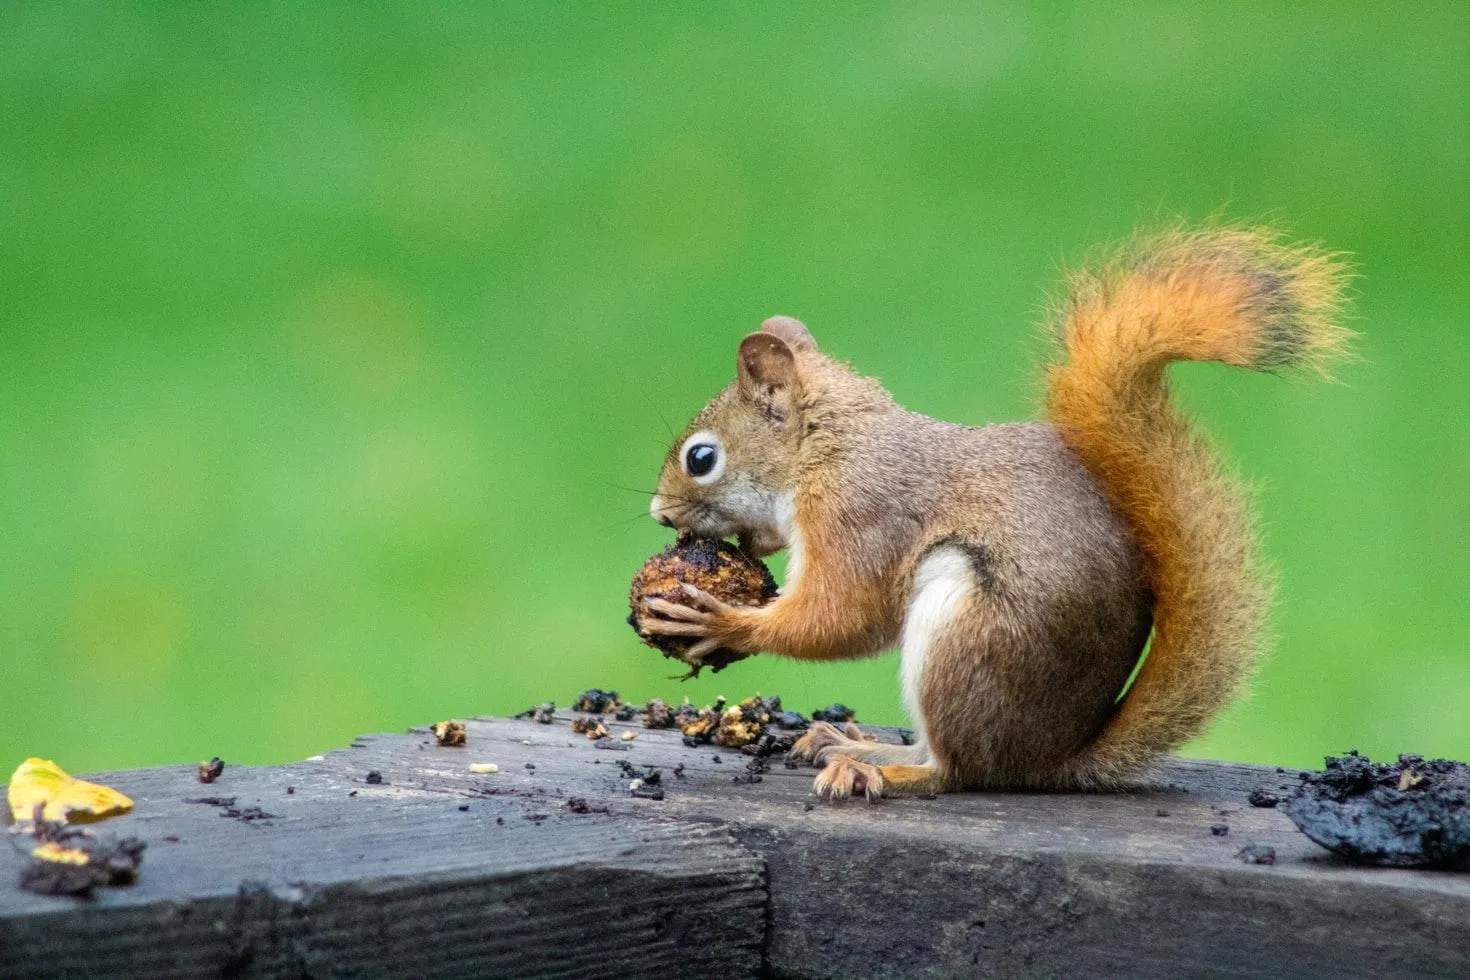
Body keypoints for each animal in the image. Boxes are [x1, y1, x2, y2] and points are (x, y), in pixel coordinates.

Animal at [632, 227, 1346, 799]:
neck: (828, 446)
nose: (661, 515)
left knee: (957, 771)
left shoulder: (860, 514)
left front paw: (721, 620)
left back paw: (880, 769)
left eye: (701, 458)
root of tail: (1049, 760)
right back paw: (851, 742)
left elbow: (843, 616)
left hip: (966, 636)